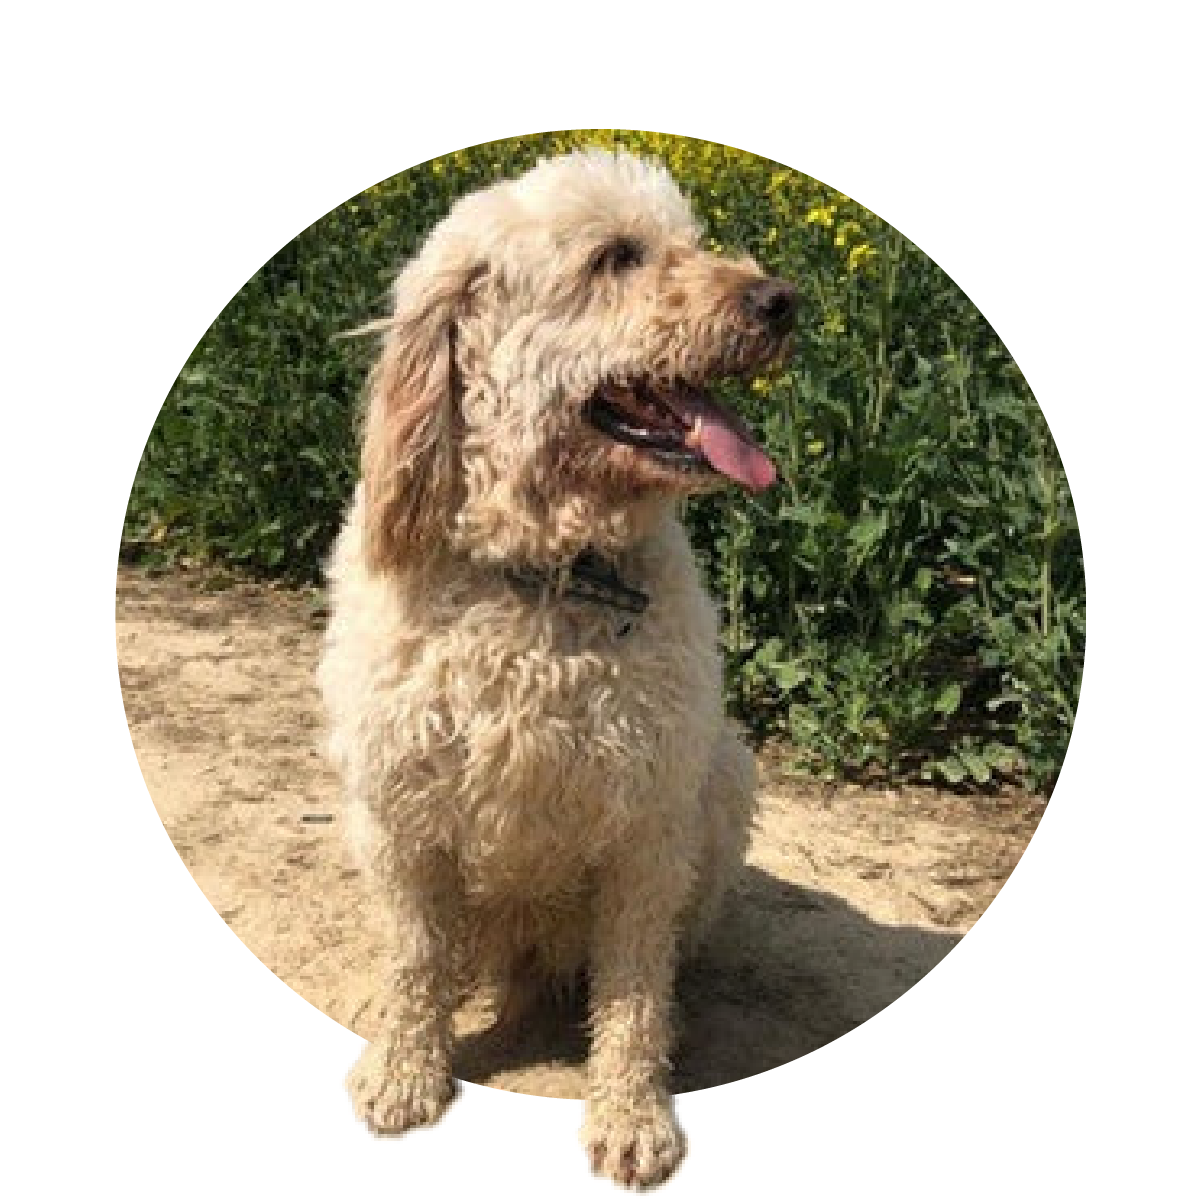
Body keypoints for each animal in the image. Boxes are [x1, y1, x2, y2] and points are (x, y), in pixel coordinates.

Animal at [317, 147, 797, 1181]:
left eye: (691, 240)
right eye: (615, 256)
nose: (782, 299)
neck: (547, 576)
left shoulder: (646, 826)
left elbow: (632, 990)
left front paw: (632, 1113)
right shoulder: (399, 807)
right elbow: (415, 952)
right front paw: (404, 1068)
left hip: (726, 774)